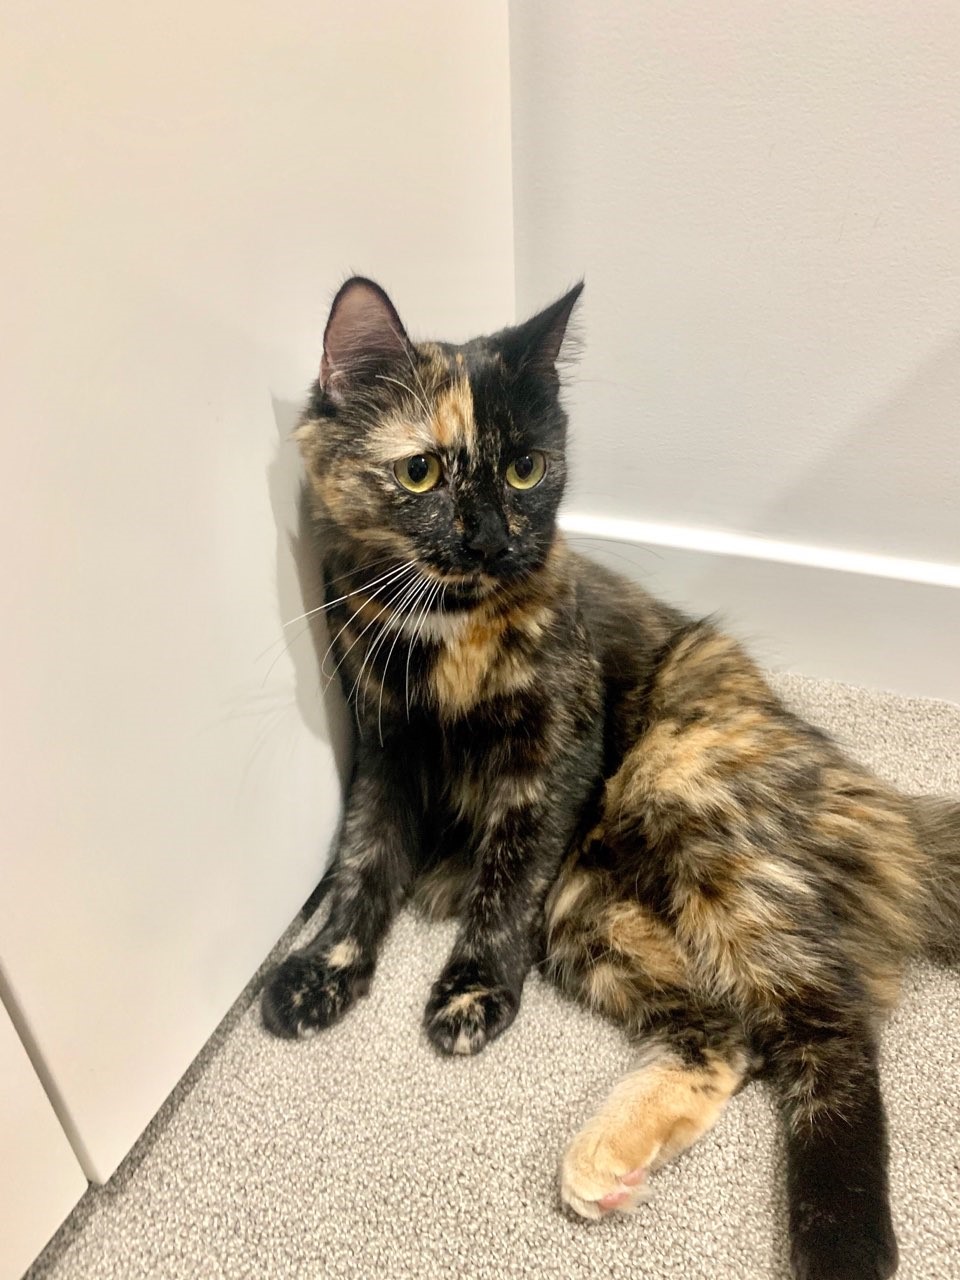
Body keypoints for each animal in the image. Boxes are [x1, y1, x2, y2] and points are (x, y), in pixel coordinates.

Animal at [262, 276, 960, 1280]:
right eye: (422, 474)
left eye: (526, 470)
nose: (491, 540)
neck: (447, 638)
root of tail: (871, 798)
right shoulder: (386, 752)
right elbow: (362, 867)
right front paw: (325, 971)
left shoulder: (554, 755)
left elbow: (501, 887)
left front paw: (469, 992)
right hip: (590, 914)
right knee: (727, 1037)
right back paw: (604, 1165)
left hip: (682, 800)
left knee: (824, 1032)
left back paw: (841, 1244)